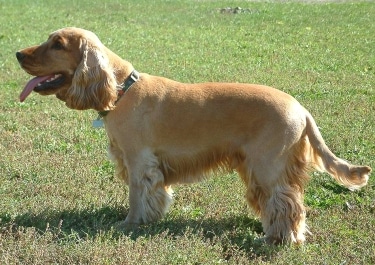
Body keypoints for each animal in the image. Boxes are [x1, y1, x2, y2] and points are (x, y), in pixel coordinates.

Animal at [15, 27, 374, 243]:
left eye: (57, 44)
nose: (18, 54)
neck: (121, 91)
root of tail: (301, 109)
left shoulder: (139, 162)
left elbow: (136, 197)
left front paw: (130, 223)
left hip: (269, 165)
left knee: (288, 204)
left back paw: (279, 239)